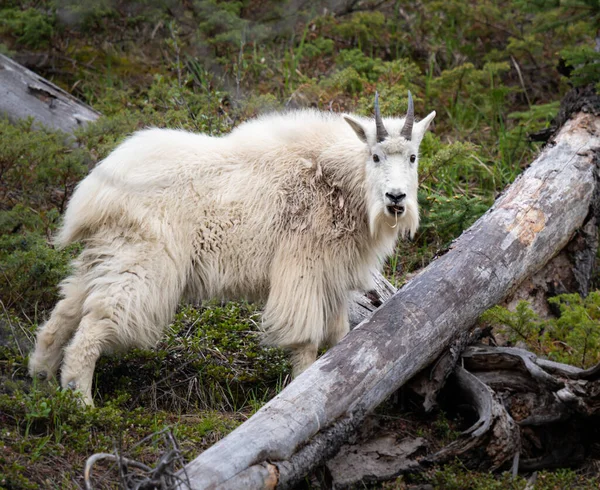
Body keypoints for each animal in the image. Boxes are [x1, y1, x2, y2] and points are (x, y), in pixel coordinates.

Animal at [29, 92, 436, 406]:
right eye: (375, 156)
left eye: (413, 157)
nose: (396, 198)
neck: (334, 182)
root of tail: (95, 189)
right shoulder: (301, 268)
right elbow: (305, 340)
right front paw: (301, 388)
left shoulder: (332, 278)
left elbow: (338, 337)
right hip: (142, 263)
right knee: (95, 324)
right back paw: (82, 404)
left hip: (106, 253)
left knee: (65, 312)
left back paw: (41, 383)